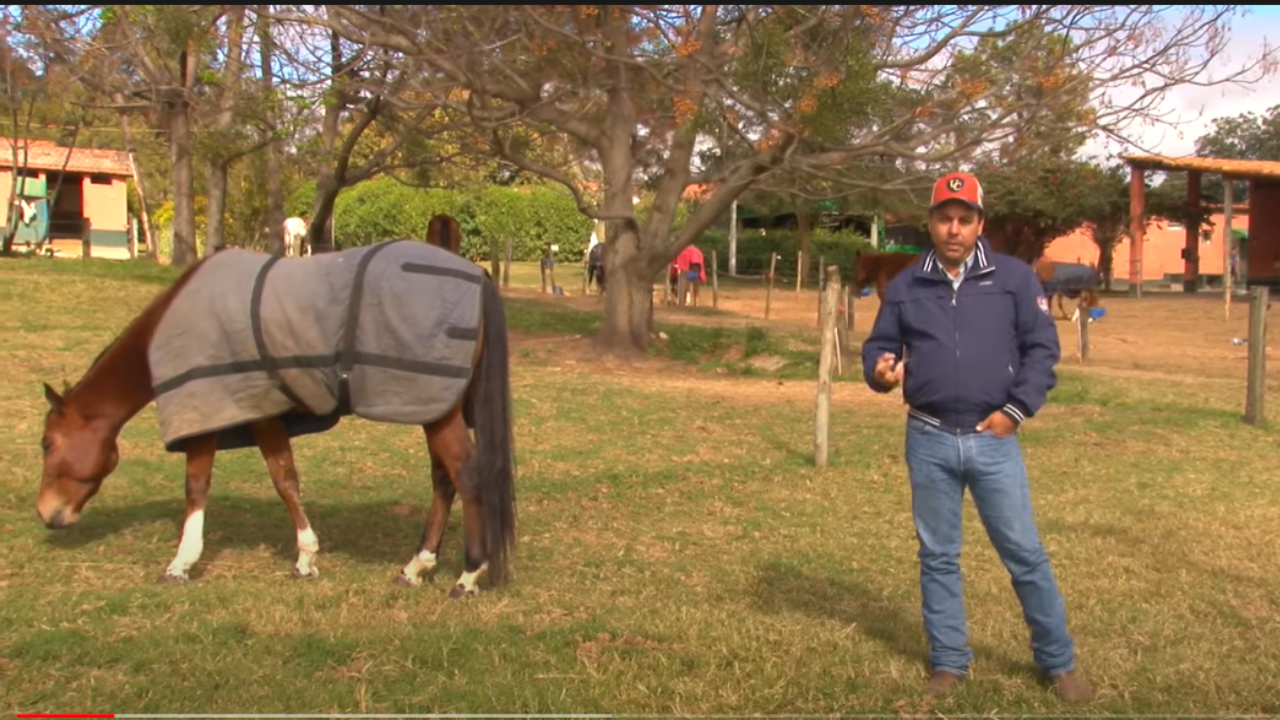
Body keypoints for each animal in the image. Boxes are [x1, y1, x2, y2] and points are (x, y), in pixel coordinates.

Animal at [36, 238, 514, 597]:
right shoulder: (262, 415)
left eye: (46, 443)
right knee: (444, 480)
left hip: (436, 410)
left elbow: (199, 486)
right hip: (434, 408)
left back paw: (467, 575)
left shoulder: (210, 415)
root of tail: (475, 276)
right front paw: (306, 558)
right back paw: (417, 566)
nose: (46, 513)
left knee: (466, 476)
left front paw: (181, 563)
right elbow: (285, 478)